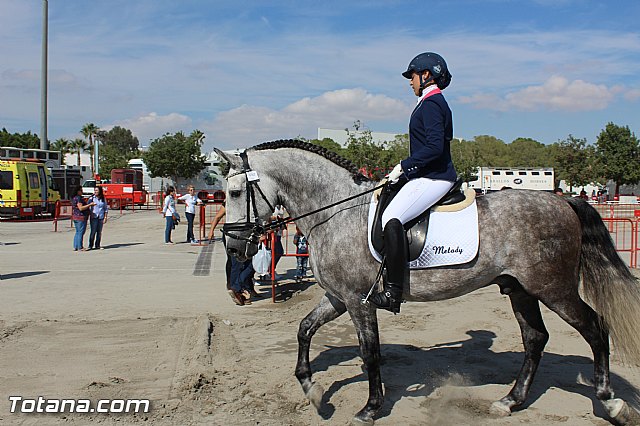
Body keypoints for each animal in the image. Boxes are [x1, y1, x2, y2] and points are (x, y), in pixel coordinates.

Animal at [215, 139, 640, 425]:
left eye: (235, 192)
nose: (234, 248)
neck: (335, 210)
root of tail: (563, 201)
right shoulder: (337, 297)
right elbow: (304, 330)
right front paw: (314, 391)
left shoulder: (357, 301)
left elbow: (370, 352)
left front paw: (370, 408)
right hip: (520, 289)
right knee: (535, 338)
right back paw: (510, 401)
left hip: (554, 289)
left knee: (595, 328)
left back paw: (611, 402)